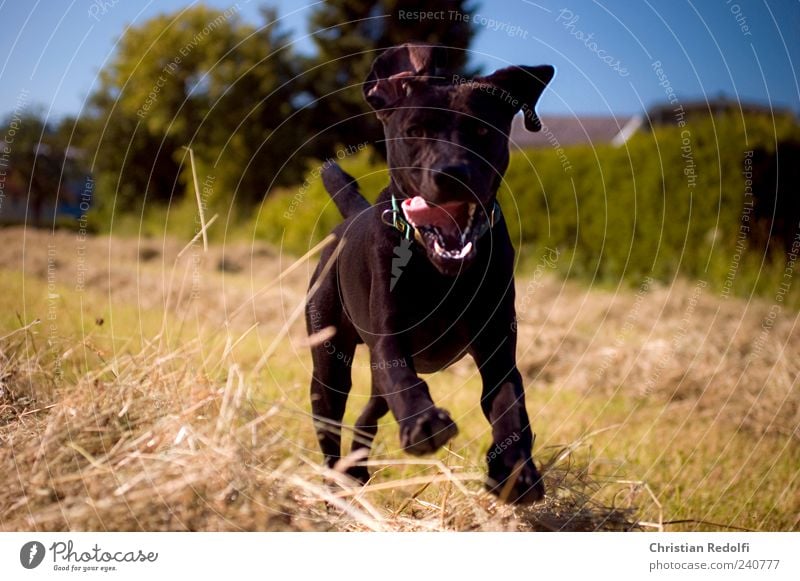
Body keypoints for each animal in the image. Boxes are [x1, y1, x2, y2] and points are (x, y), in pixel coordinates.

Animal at [306, 43, 556, 500]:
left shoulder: (497, 347)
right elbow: (404, 380)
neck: (440, 273)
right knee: (333, 420)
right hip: (329, 360)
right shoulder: (389, 336)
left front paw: (516, 471)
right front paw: (425, 424)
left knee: (369, 411)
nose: (453, 174)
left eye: (481, 132)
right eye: (416, 130)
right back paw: (337, 485)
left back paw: (358, 467)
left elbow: (510, 405)